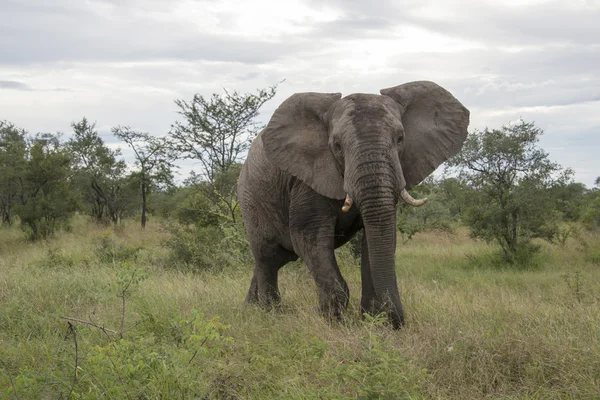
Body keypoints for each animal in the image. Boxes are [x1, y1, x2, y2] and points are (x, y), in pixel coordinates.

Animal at [237, 81, 472, 328]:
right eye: (337, 146)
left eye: (400, 139)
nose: (395, 322)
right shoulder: (308, 178)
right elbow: (309, 236)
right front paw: (330, 320)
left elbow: (377, 237)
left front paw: (371, 320)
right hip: (251, 198)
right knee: (267, 256)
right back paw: (269, 313)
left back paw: (250, 308)